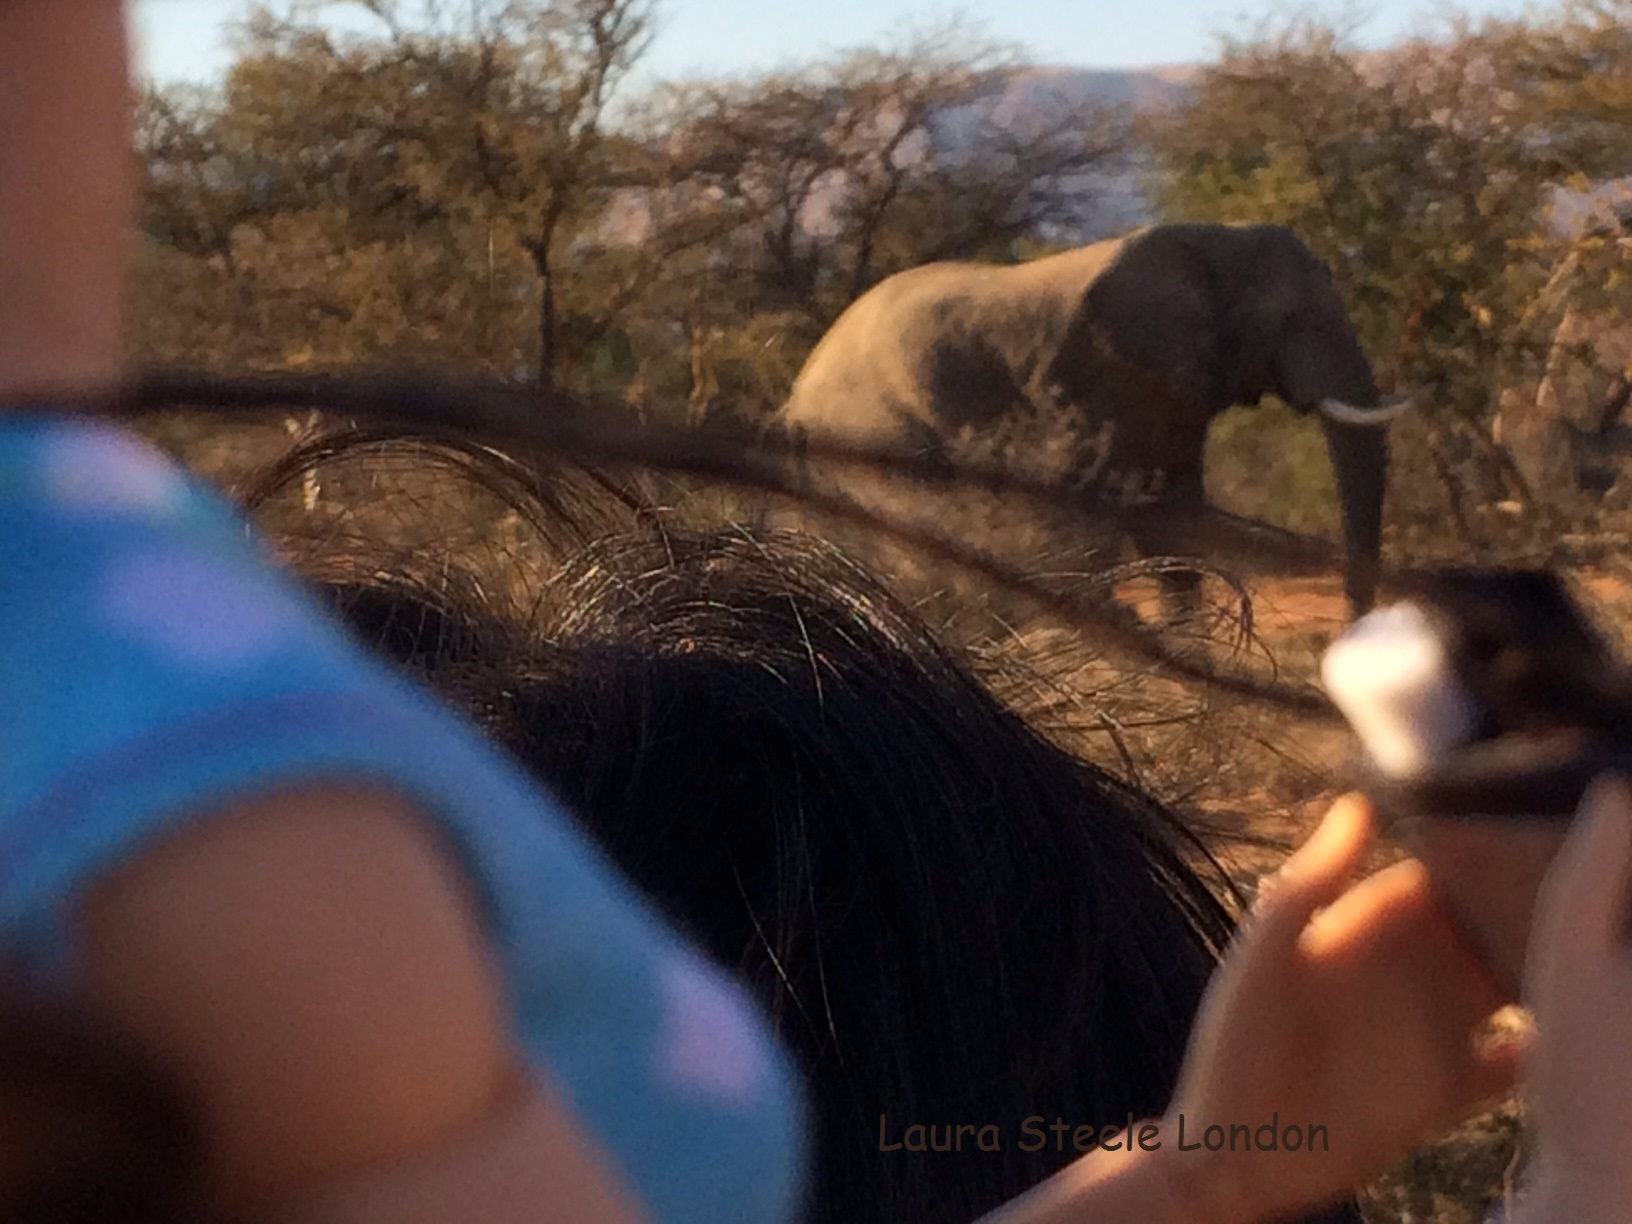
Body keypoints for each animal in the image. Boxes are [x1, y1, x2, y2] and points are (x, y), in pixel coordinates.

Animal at [775, 223, 1411, 615]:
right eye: (1296, 320)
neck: (1213, 238)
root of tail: (797, 391)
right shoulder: (1100, 380)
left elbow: (1175, 518)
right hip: (875, 430)